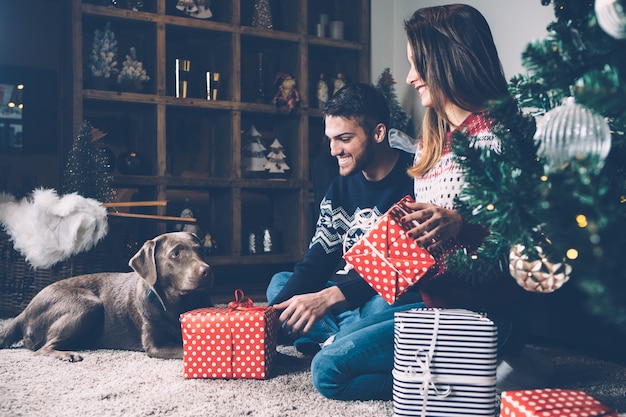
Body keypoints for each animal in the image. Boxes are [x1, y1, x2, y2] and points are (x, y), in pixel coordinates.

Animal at [0, 231, 213, 360]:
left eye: (201, 250)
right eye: (176, 254)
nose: (207, 271)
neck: (177, 305)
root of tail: (24, 312)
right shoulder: (155, 346)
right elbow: (186, 349)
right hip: (88, 305)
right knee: (41, 349)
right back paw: (67, 354)